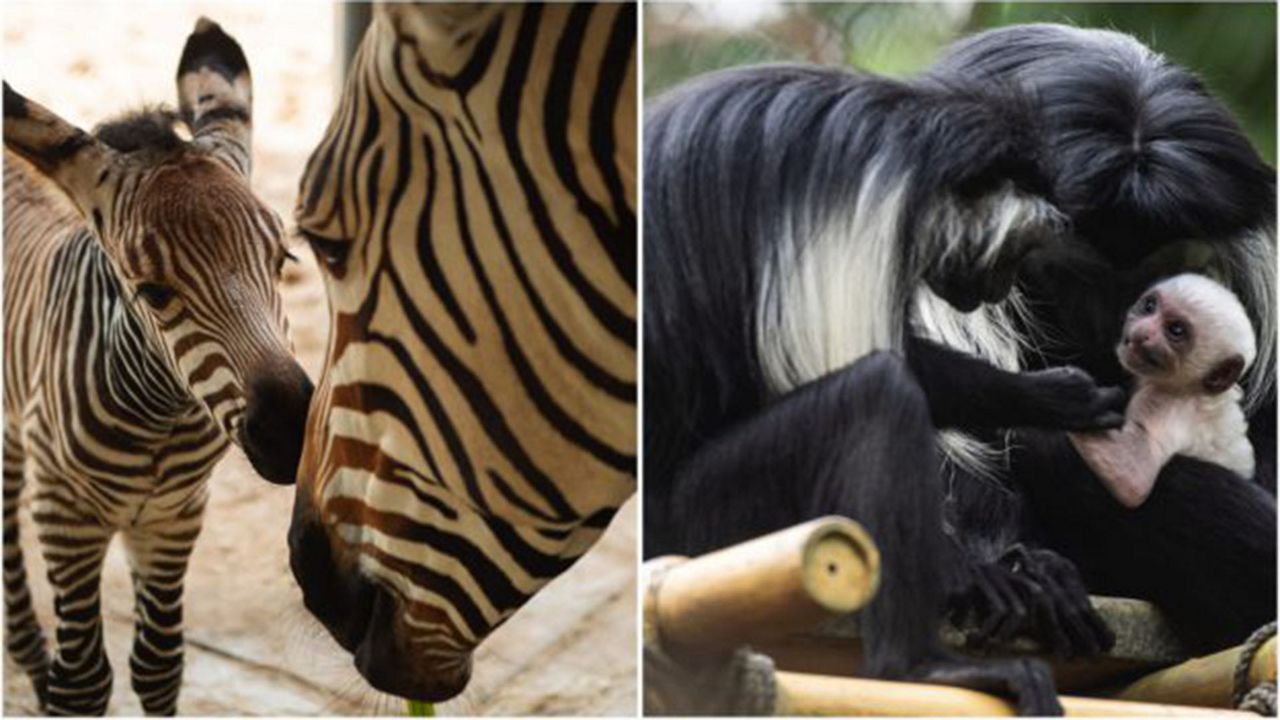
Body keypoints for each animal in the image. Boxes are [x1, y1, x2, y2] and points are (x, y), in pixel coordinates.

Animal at [2, 16, 311, 712]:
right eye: (154, 293)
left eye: (282, 260)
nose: (291, 434)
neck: (159, 418)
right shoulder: (64, 515)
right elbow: (84, 679)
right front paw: (59, 683)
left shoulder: (176, 515)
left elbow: (159, 663)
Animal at [645, 63, 1126, 712]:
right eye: (1017, 252)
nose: (998, 291)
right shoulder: (863, 205)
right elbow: (880, 363)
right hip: (708, 515)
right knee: (877, 396)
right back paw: (920, 668)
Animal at [1064, 271, 1254, 507]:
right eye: (1149, 307)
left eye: (1176, 330)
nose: (1142, 332)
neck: (1194, 389)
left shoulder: (1163, 403)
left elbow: (1132, 477)